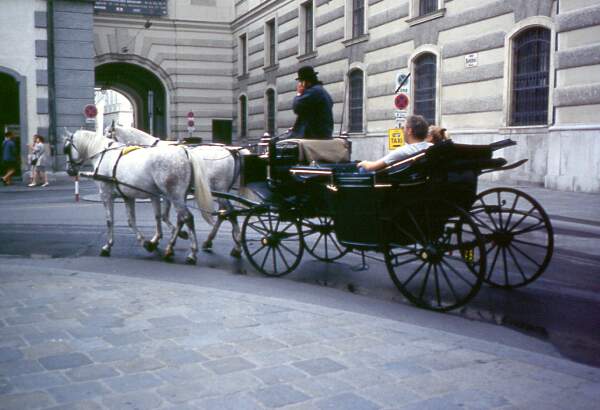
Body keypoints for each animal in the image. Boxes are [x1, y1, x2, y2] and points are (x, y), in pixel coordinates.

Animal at [64, 128, 214, 264]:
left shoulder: (106, 195)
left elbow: (109, 221)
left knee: (187, 218)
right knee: (181, 219)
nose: (69, 171)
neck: (103, 155)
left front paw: (107, 246)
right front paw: (148, 243)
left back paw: (192, 253)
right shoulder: (128, 197)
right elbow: (133, 221)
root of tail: (183, 151)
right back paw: (171, 248)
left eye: (66, 149)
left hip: (174, 195)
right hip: (179, 196)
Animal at [108, 126, 248, 258]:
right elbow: (166, 216)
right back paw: (211, 241)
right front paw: (163, 238)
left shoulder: (167, 194)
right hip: (222, 193)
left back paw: (236, 247)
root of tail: (232, 150)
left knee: (230, 213)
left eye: (107, 134)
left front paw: (176, 235)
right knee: (223, 214)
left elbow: (165, 216)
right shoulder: (170, 194)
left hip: (220, 190)